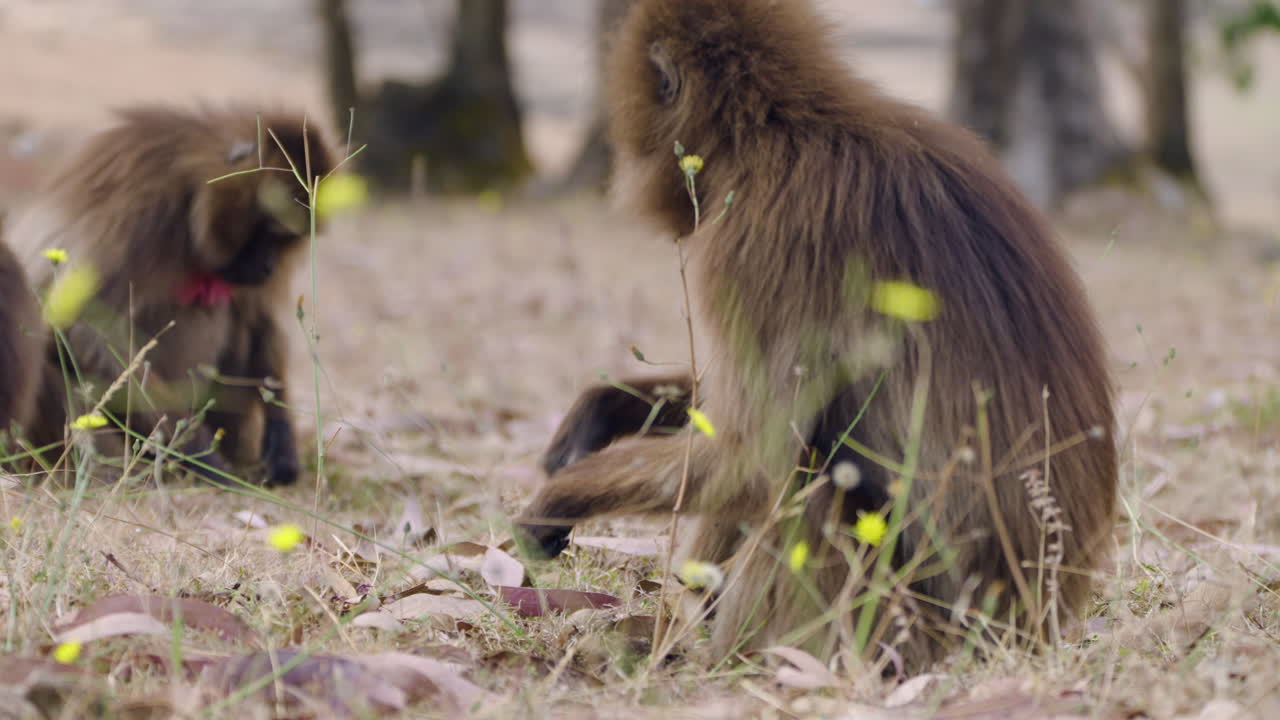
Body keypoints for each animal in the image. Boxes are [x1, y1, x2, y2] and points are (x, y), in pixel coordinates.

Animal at [12, 105, 334, 486]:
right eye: (269, 231)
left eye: (286, 239)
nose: (268, 267)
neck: (192, 188)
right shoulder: (139, 207)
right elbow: (84, 328)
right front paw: (200, 456)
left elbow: (258, 318)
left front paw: (281, 442)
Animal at [518, 0, 1117, 671]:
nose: (624, 166)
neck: (784, 126)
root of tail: (1031, 626)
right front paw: (603, 410)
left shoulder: (760, 237)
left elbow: (752, 457)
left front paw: (558, 498)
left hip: (904, 626)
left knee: (811, 479)